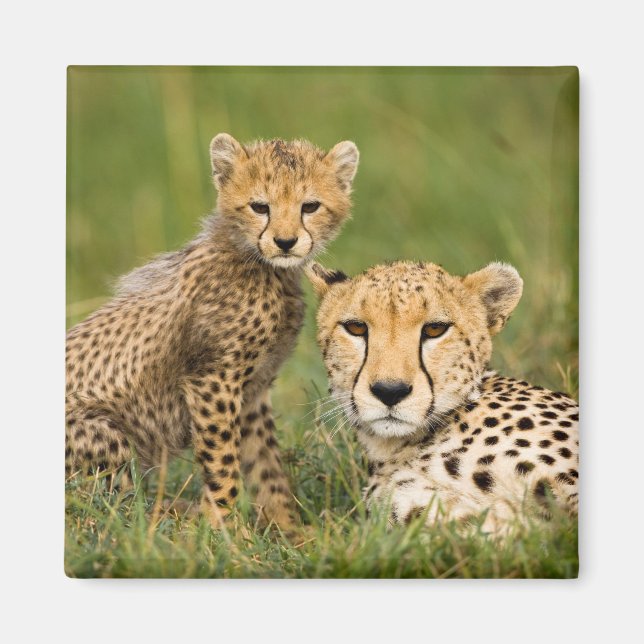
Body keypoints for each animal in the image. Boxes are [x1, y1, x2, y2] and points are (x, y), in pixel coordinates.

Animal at [65, 133, 359, 532]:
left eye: (310, 206)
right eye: (260, 207)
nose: (285, 242)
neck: (260, 265)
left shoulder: (252, 390)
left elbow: (266, 465)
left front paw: (289, 529)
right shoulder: (213, 380)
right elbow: (223, 462)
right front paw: (226, 530)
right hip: (104, 431)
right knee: (107, 507)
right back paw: (176, 517)